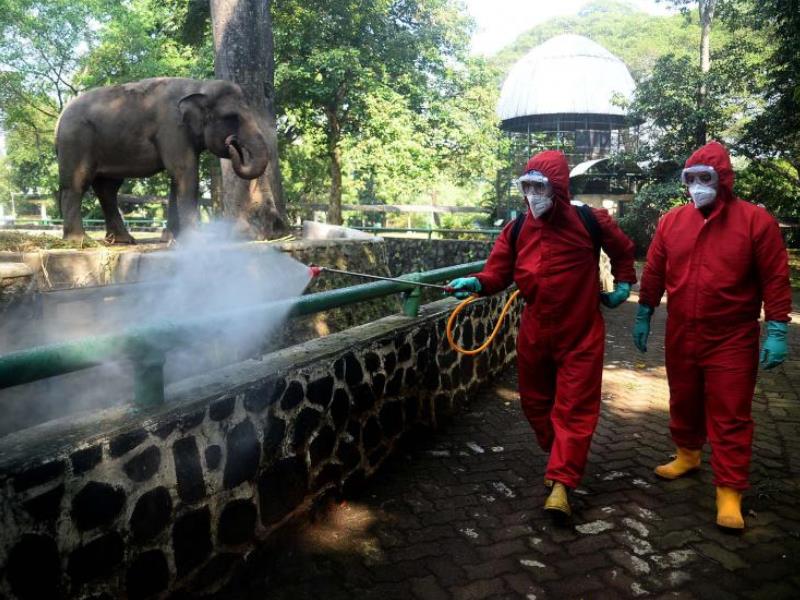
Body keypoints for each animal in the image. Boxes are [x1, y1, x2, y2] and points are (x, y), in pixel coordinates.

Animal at [55, 78, 272, 244]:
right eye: (231, 117)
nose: (232, 142)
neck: (199, 85)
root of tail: (60, 117)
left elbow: (178, 178)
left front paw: (172, 238)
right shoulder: (172, 128)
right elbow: (185, 172)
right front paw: (196, 240)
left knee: (107, 189)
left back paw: (124, 240)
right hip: (75, 141)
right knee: (77, 184)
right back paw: (80, 241)